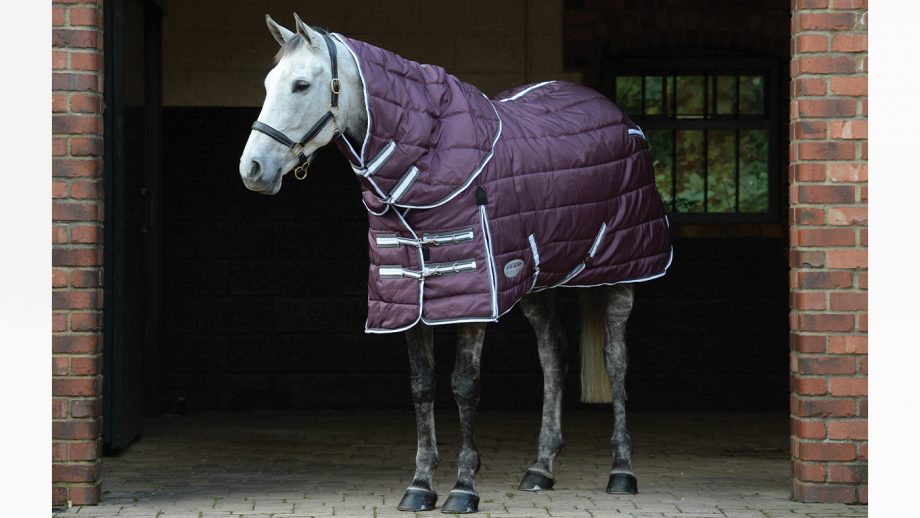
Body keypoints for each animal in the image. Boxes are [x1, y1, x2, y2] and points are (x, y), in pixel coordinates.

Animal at [238, 14, 672, 514]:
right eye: (267, 83)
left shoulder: (473, 297)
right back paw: (540, 468)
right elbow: (422, 386)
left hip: (621, 272)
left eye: (301, 85)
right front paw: (420, 485)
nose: (252, 169)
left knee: (616, 358)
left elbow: (464, 384)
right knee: (554, 355)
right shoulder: (411, 299)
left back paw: (622, 471)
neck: (428, 164)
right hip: (537, 283)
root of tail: (618, 116)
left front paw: (464, 488)